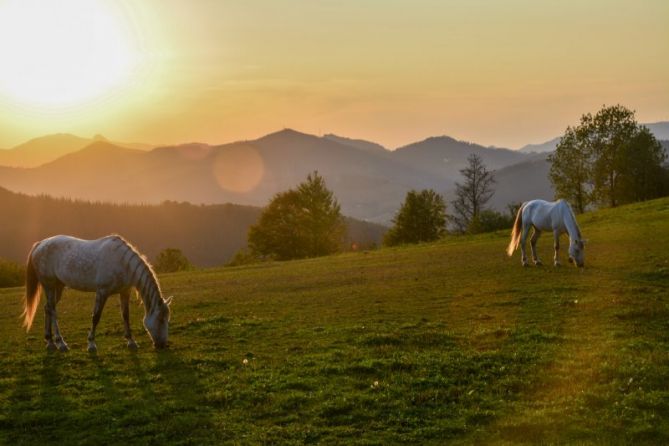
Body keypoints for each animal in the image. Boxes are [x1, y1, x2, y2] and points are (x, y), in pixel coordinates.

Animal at [24, 235, 172, 354]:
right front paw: (91, 344)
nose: (162, 345)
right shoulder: (102, 292)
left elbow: (125, 315)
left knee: (47, 308)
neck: (122, 263)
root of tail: (40, 244)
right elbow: (96, 317)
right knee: (53, 311)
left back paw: (49, 342)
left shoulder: (124, 292)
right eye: (161, 319)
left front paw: (131, 342)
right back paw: (61, 343)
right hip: (49, 285)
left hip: (58, 287)